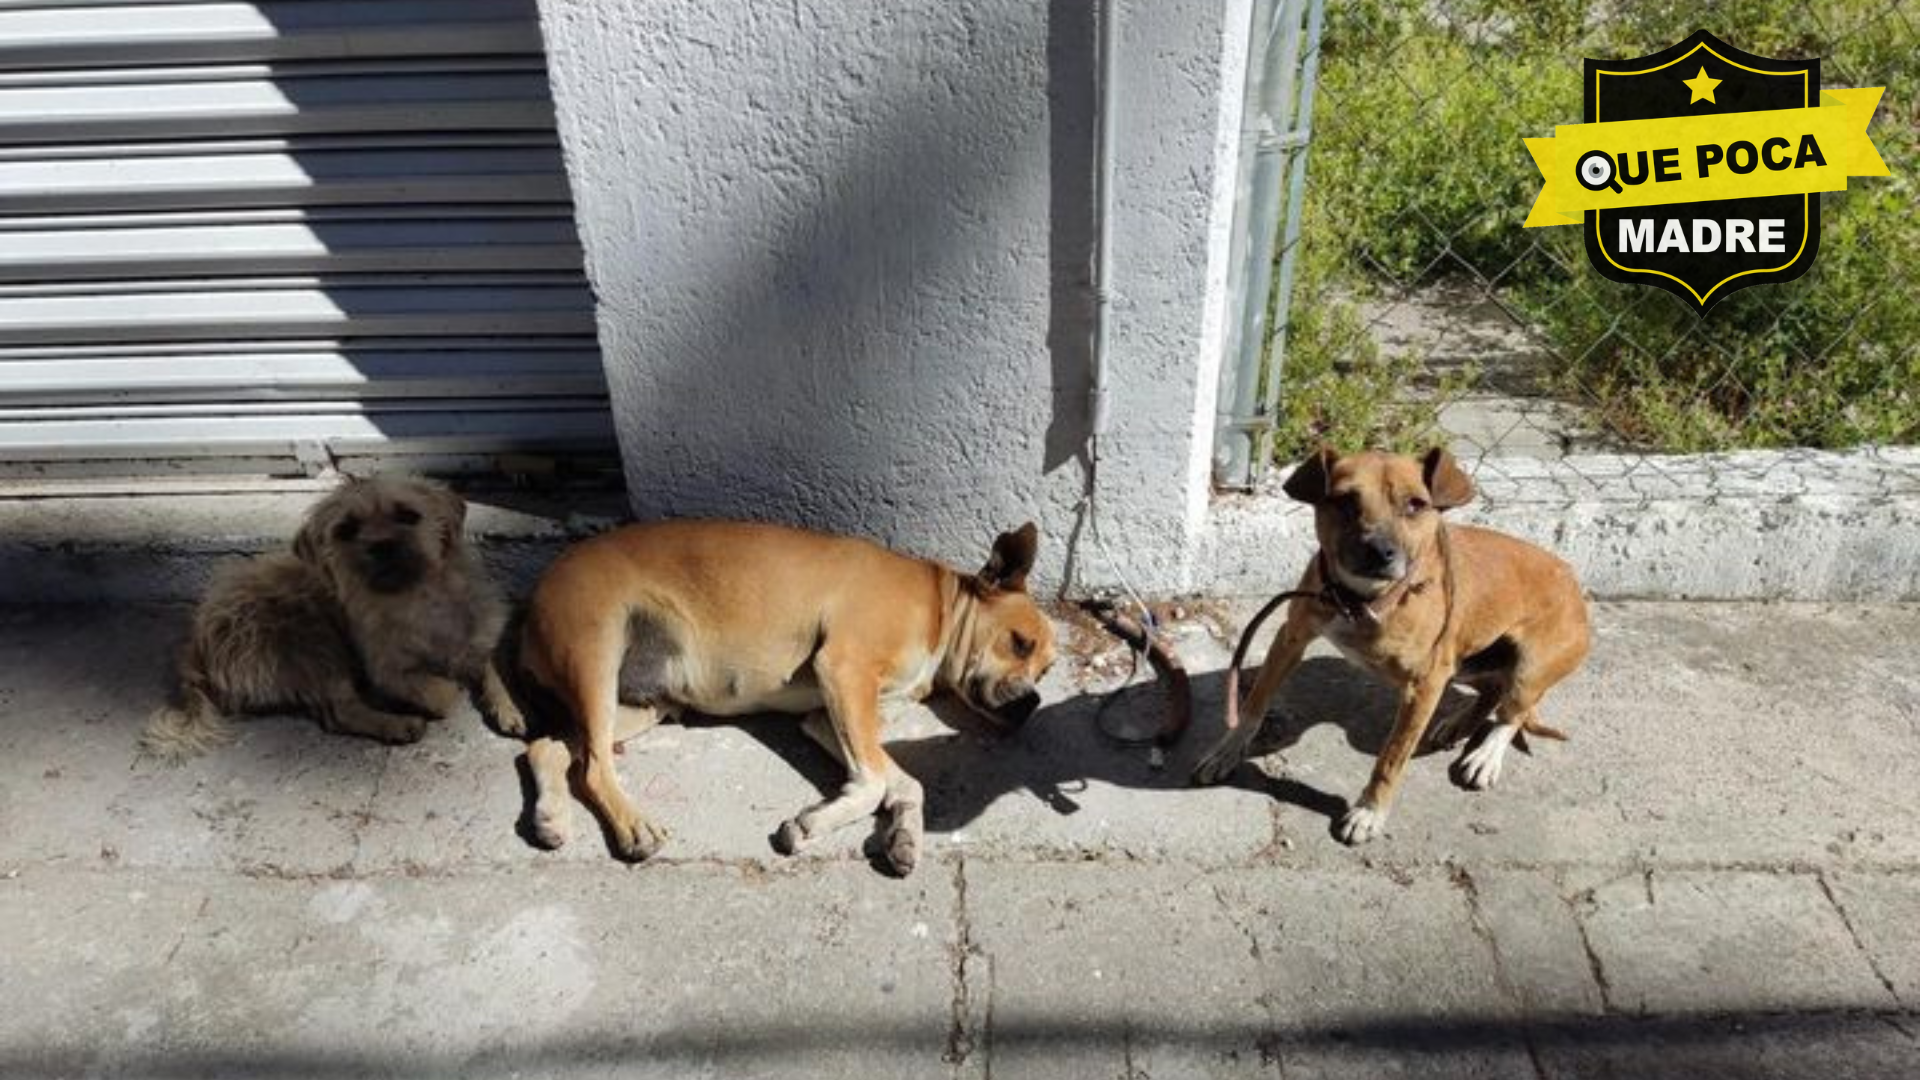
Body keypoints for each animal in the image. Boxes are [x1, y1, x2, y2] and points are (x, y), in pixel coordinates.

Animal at [140, 470, 526, 757]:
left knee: (328, 712)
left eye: (408, 515)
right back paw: (396, 724)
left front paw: (508, 707)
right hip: (314, 641)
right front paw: (449, 693)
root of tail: (196, 643)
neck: (419, 598)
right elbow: (439, 692)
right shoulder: (387, 670)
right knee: (340, 712)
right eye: (346, 530)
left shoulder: (478, 639)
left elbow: (493, 672)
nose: (381, 546)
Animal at [503, 515, 1059, 876]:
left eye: (1048, 669)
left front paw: (904, 834)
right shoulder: (845, 671)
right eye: (1020, 642)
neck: (941, 609)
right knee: (595, 765)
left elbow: (905, 782)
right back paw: (633, 826)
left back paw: (550, 816)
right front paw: (813, 823)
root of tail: (535, 594)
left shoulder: (830, 714)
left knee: (550, 748)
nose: (1032, 704)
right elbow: (875, 781)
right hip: (596, 656)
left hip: (642, 704)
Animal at [1198, 443, 1589, 841]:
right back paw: (1457, 724)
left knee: (1513, 713)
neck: (1361, 602)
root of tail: (1573, 580)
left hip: (1527, 669)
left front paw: (1369, 812)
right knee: (1494, 690)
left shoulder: (1424, 686)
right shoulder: (1290, 638)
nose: (1379, 551)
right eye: (1344, 501)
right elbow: (1254, 704)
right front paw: (1226, 751)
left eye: (1415, 504)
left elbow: (1391, 758)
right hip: (1465, 662)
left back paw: (1484, 758)